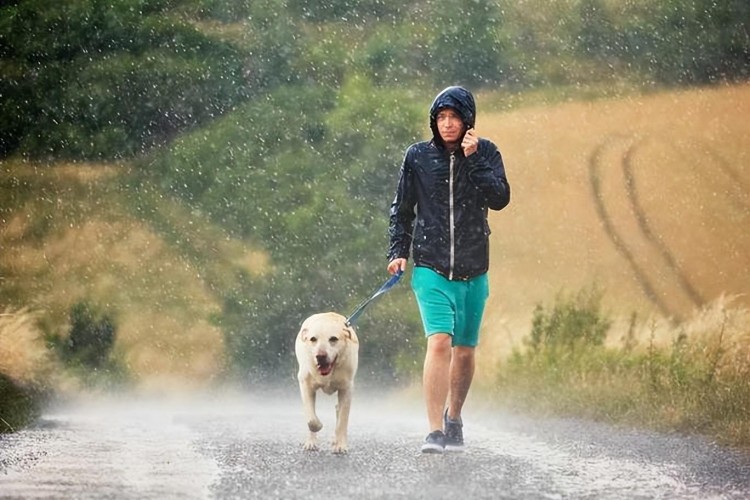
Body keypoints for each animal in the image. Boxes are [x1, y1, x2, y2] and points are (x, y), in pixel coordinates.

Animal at [296, 312, 360, 454]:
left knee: (339, 411)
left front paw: (340, 445)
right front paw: (316, 429)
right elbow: (311, 419)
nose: (320, 356)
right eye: (313, 339)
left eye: (333, 339)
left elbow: (342, 420)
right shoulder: (305, 384)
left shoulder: (347, 388)